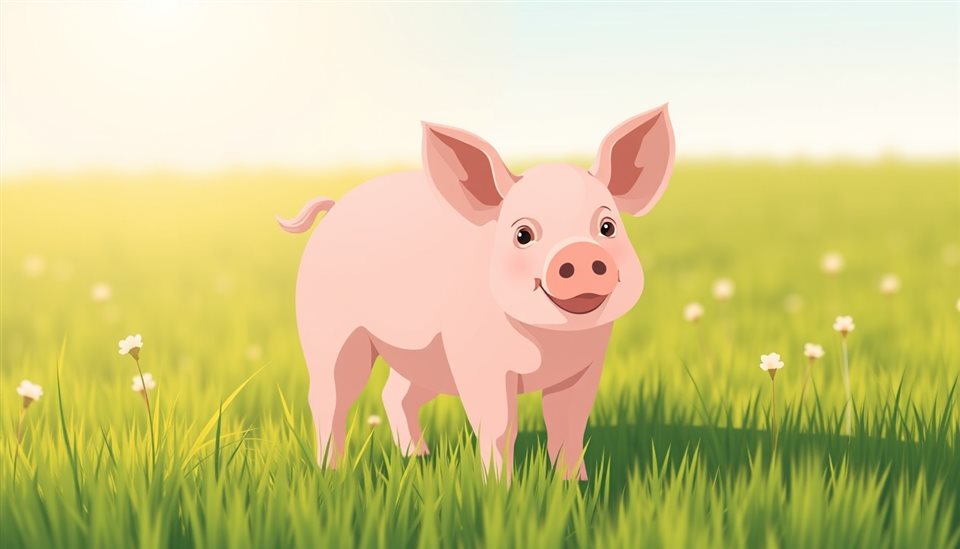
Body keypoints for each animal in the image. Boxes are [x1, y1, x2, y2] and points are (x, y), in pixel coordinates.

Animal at [277, 105, 674, 480]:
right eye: (523, 235)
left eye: (607, 227)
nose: (578, 252)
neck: (548, 343)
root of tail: (334, 207)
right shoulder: (477, 359)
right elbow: (499, 426)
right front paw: (500, 489)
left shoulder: (585, 366)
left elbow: (569, 426)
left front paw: (573, 484)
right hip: (330, 332)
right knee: (329, 396)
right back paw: (332, 471)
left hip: (424, 358)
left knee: (395, 394)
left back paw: (418, 457)